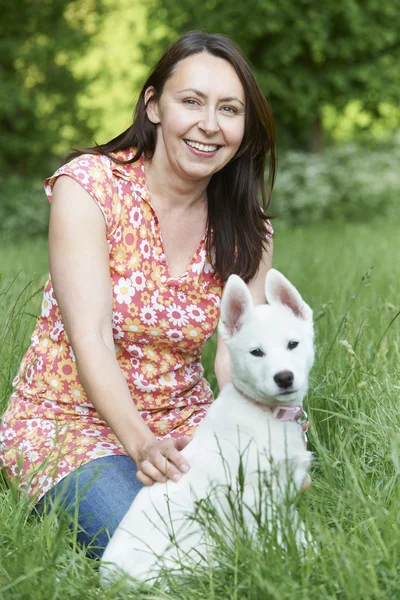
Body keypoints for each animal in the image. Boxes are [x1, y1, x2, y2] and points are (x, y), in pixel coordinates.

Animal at [101, 270, 316, 584]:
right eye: (256, 352)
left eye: (293, 344)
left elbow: (296, 529)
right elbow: (272, 537)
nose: (284, 378)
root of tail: (109, 581)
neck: (266, 413)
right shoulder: (253, 498)